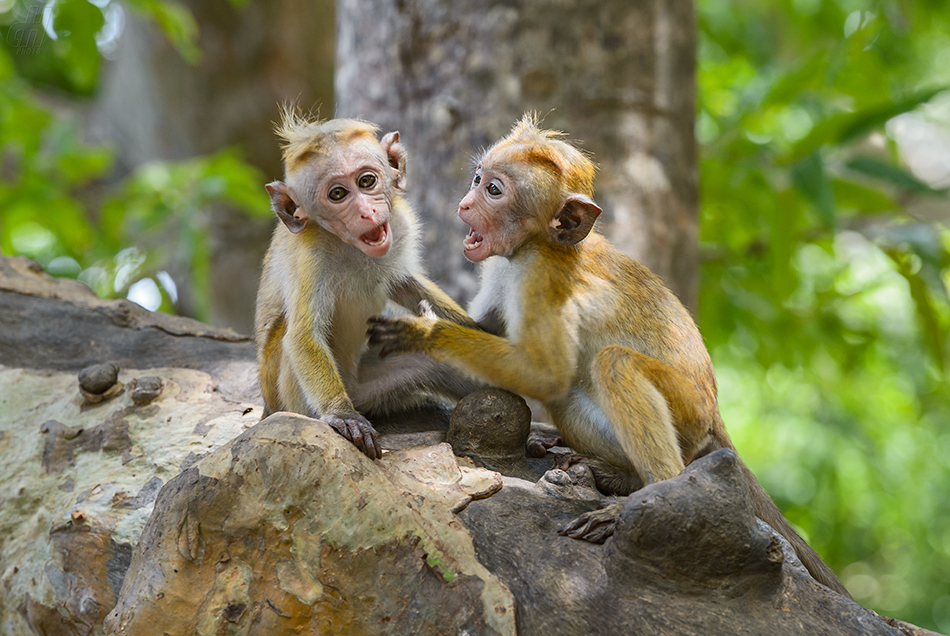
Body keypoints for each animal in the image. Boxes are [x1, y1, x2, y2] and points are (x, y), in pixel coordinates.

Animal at [256, 108, 484, 458]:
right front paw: (341, 414)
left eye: (367, 181)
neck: (351, 248)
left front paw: (477, 328)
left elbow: (404, 284)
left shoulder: (400, 225)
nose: (365, 211)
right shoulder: (309, 255)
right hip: (300, 399)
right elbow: (302, 336)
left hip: (373, 387)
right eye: (337, 194)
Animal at [366, 113, 856, 596]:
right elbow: (487, 332)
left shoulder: (541, 277)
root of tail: (715, 412)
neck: (535, 244)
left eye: (494, 191)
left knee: (611, 365)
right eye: (477, 177)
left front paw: (422, 331)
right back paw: (620, 476)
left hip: (689, 413)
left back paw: (649, 491)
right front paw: (399, 284)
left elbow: (545, 375)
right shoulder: (501, 268)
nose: (465, 204)